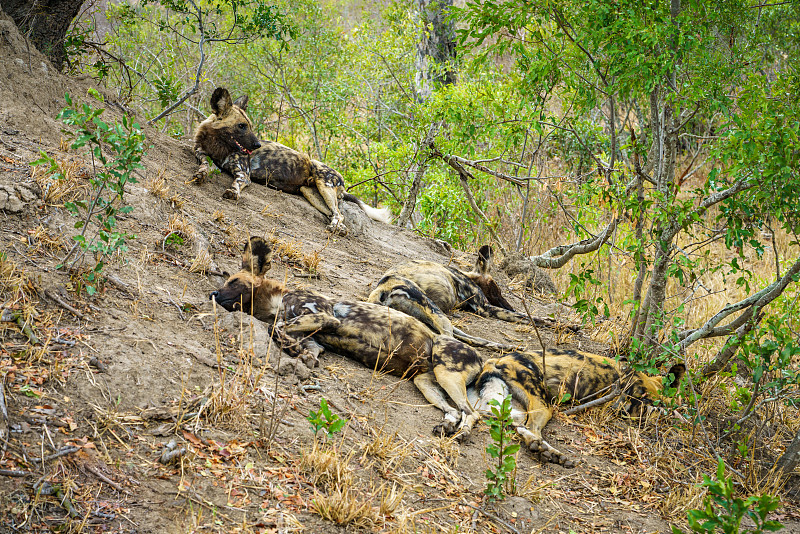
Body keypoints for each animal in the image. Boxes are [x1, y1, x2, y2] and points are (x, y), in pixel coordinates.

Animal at [191, 88, 390, 234]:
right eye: (241, 126)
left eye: (249, 126)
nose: (256, 144)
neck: (216, 144)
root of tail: (342, 180)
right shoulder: (200, 151)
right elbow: (204, 163)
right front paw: (201, 173)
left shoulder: (243, 173)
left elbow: (236, 182)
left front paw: (233, 192)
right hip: (310, 193)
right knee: (336, 214)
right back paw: (338, 227)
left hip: (324, 185)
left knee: (338, 213)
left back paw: (336, 228)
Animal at [211, 237, 482, 438]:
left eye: (233, 281)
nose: (214, 294)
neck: (276, 303)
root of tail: (480, 358)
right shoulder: (314, 340)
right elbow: (296, 341)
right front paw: (299, 353)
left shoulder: (326, 317)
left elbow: (275, 328)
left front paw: (291, 347)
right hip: (425, 383)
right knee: (454, 411)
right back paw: (447, 426)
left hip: (446, 373)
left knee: (472, 413)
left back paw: (462, 434)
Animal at [368, 247, 568, 352]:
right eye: (497, 290)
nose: (510, 306)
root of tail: (381, 290)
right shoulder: (485, 308)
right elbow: (531, 317)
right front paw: (568, 326)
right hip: (433, 310)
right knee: (449, 338)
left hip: (429, 315)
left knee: (468, 337)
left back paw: (508, 347)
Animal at [472, 352, 684, 468]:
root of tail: (495, 361)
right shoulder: (627, 405)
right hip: (543, 404)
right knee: (531, 428)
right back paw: (548, 452)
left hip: (511, 405)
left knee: (516, 425)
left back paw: (550, 453)